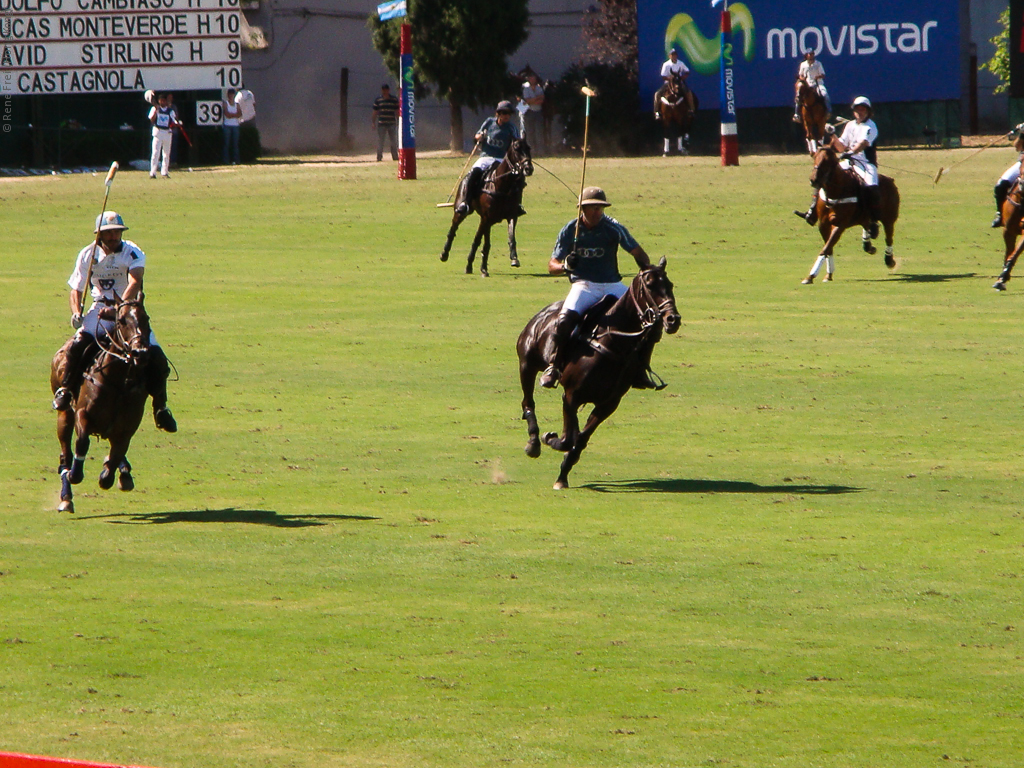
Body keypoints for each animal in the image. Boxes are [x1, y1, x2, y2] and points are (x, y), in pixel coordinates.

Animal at [50, 296, 153, 514]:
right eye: (121, 321)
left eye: (146, 318)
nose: (140, 353)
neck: (117, 381)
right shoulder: (83, 415)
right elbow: (82, 443)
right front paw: (75, 474)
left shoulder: (127, 428)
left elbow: (114, 461)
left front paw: (115, 471)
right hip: (64, 414)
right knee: (65, 454)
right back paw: (66, 496)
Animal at [440, 139, 536, 280]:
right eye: (516, 149)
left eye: (529, 148)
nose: (528, 168)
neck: (502, 185)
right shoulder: (487, 218)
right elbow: (485, 244)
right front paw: (483, 269)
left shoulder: (511, 215)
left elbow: (511, 237)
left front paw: (514, 258)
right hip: (464, 210)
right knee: (453, 229)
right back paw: (444, 254)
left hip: (484, 221)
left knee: (477, 239)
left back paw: (469, 265)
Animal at [520, 259, 679, 487]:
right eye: (649, 285)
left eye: (670, 284)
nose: (673, 319)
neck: (613, 344)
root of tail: (544, 313)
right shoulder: (571, 395)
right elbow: (568, 439)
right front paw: (549, 438)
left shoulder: (608, 404)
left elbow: (580, 439)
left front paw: (563, 475)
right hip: (527, 364)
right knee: (527, 402)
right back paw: (533, 442)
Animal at [798, 144, 897, 282]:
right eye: (814, 158)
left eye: (828, 161)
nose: (814, 180)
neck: (835, 191)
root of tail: (890, 180)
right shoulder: (823, 224)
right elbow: (828, 248)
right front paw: (828, 275)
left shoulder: (840, 224)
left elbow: (826, 248)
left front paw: (811, 276)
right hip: (864, 218)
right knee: (869, 226)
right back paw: (869, 244)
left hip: (889, 218)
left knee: (888, 237)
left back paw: (889, 260)